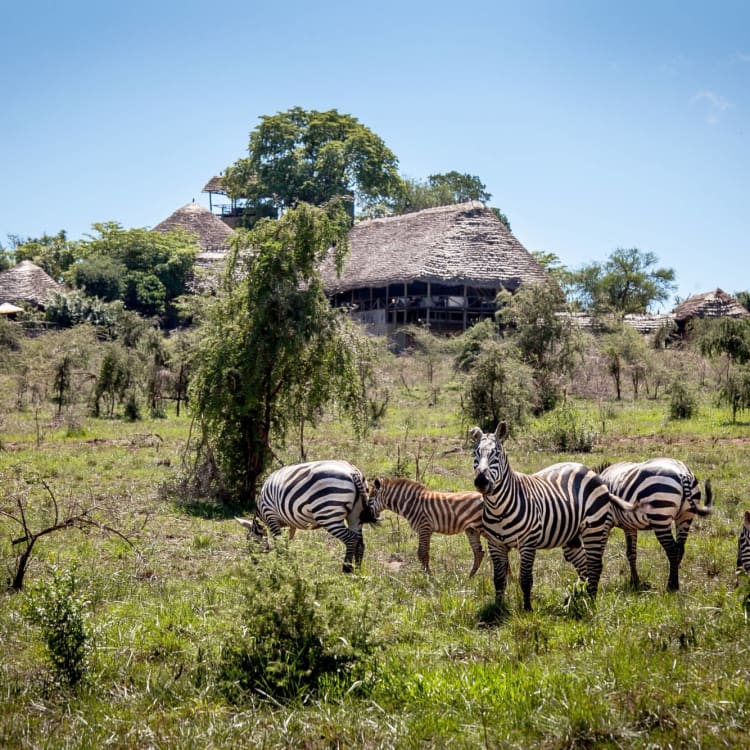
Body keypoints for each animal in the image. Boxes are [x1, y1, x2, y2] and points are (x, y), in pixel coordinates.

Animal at [234, 458, 376, 576]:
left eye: (248, 541)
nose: (255, 565)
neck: (261, 513)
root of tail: (352, 471)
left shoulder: (271, 515)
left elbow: (279, 544)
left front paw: (279, 568)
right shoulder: (287, 522)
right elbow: (286, 543)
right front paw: (287, 565)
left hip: (328, 514)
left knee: (351, 539)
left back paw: (347, 569)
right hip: (355, 515)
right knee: (360, 542)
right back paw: (357, 570)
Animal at [470, 424, 636, 612]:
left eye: (496, 453)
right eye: (475, 453)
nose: (481, 481)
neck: (498, 508)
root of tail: (589, 470)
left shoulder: (528, 543)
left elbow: (525, 579)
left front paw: (527, 610)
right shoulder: (495, 544)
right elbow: (498, 580)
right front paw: (498, 609)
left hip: (594, 528)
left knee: (595, 566)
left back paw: (591, 602)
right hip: (573, 537)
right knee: (584, 566)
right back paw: (581, 598)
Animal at [600, 458, 716, 592]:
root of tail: (683, 473)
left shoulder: (606, 521)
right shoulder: (629, 525)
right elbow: (631, 553)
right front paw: (634, 582)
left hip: (660, 517)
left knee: (672, 549)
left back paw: (671, 586)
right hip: (685, 516)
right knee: (680, 548)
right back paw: (674, 580)